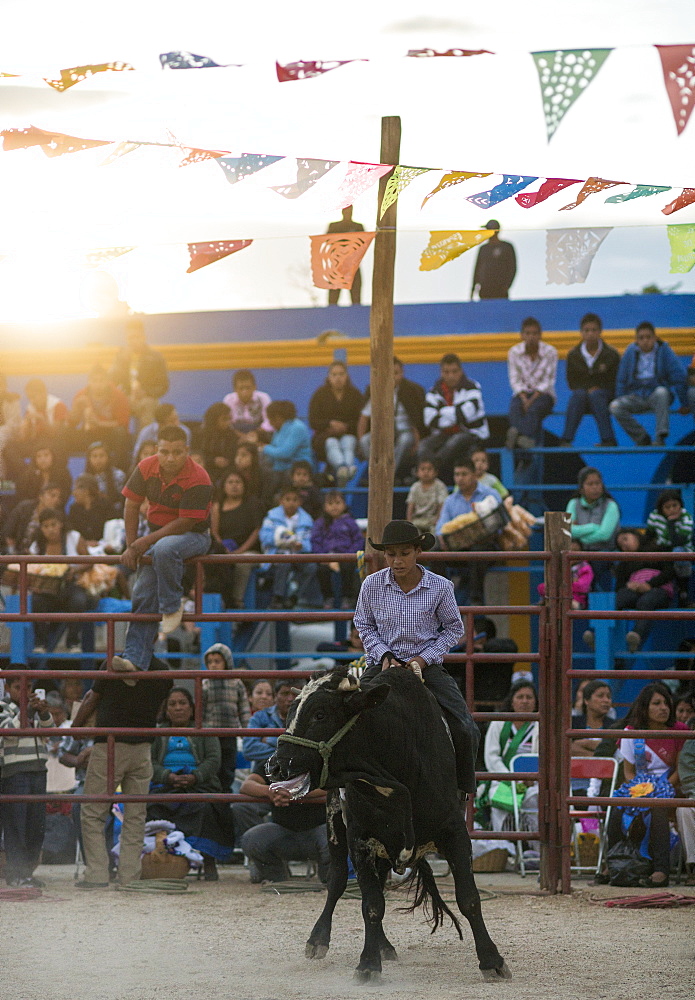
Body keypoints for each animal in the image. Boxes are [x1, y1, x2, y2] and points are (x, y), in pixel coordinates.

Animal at [270, 668, 512, 980]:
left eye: (320, 714)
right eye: (289, 713)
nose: (276, 765)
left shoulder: (456, 832)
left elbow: (469, 898)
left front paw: (492, 960)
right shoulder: (359, 840)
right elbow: (371, 904)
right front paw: (368, 963)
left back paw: (383, 945)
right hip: (335, 825)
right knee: (337, 881)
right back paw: (319, 940)